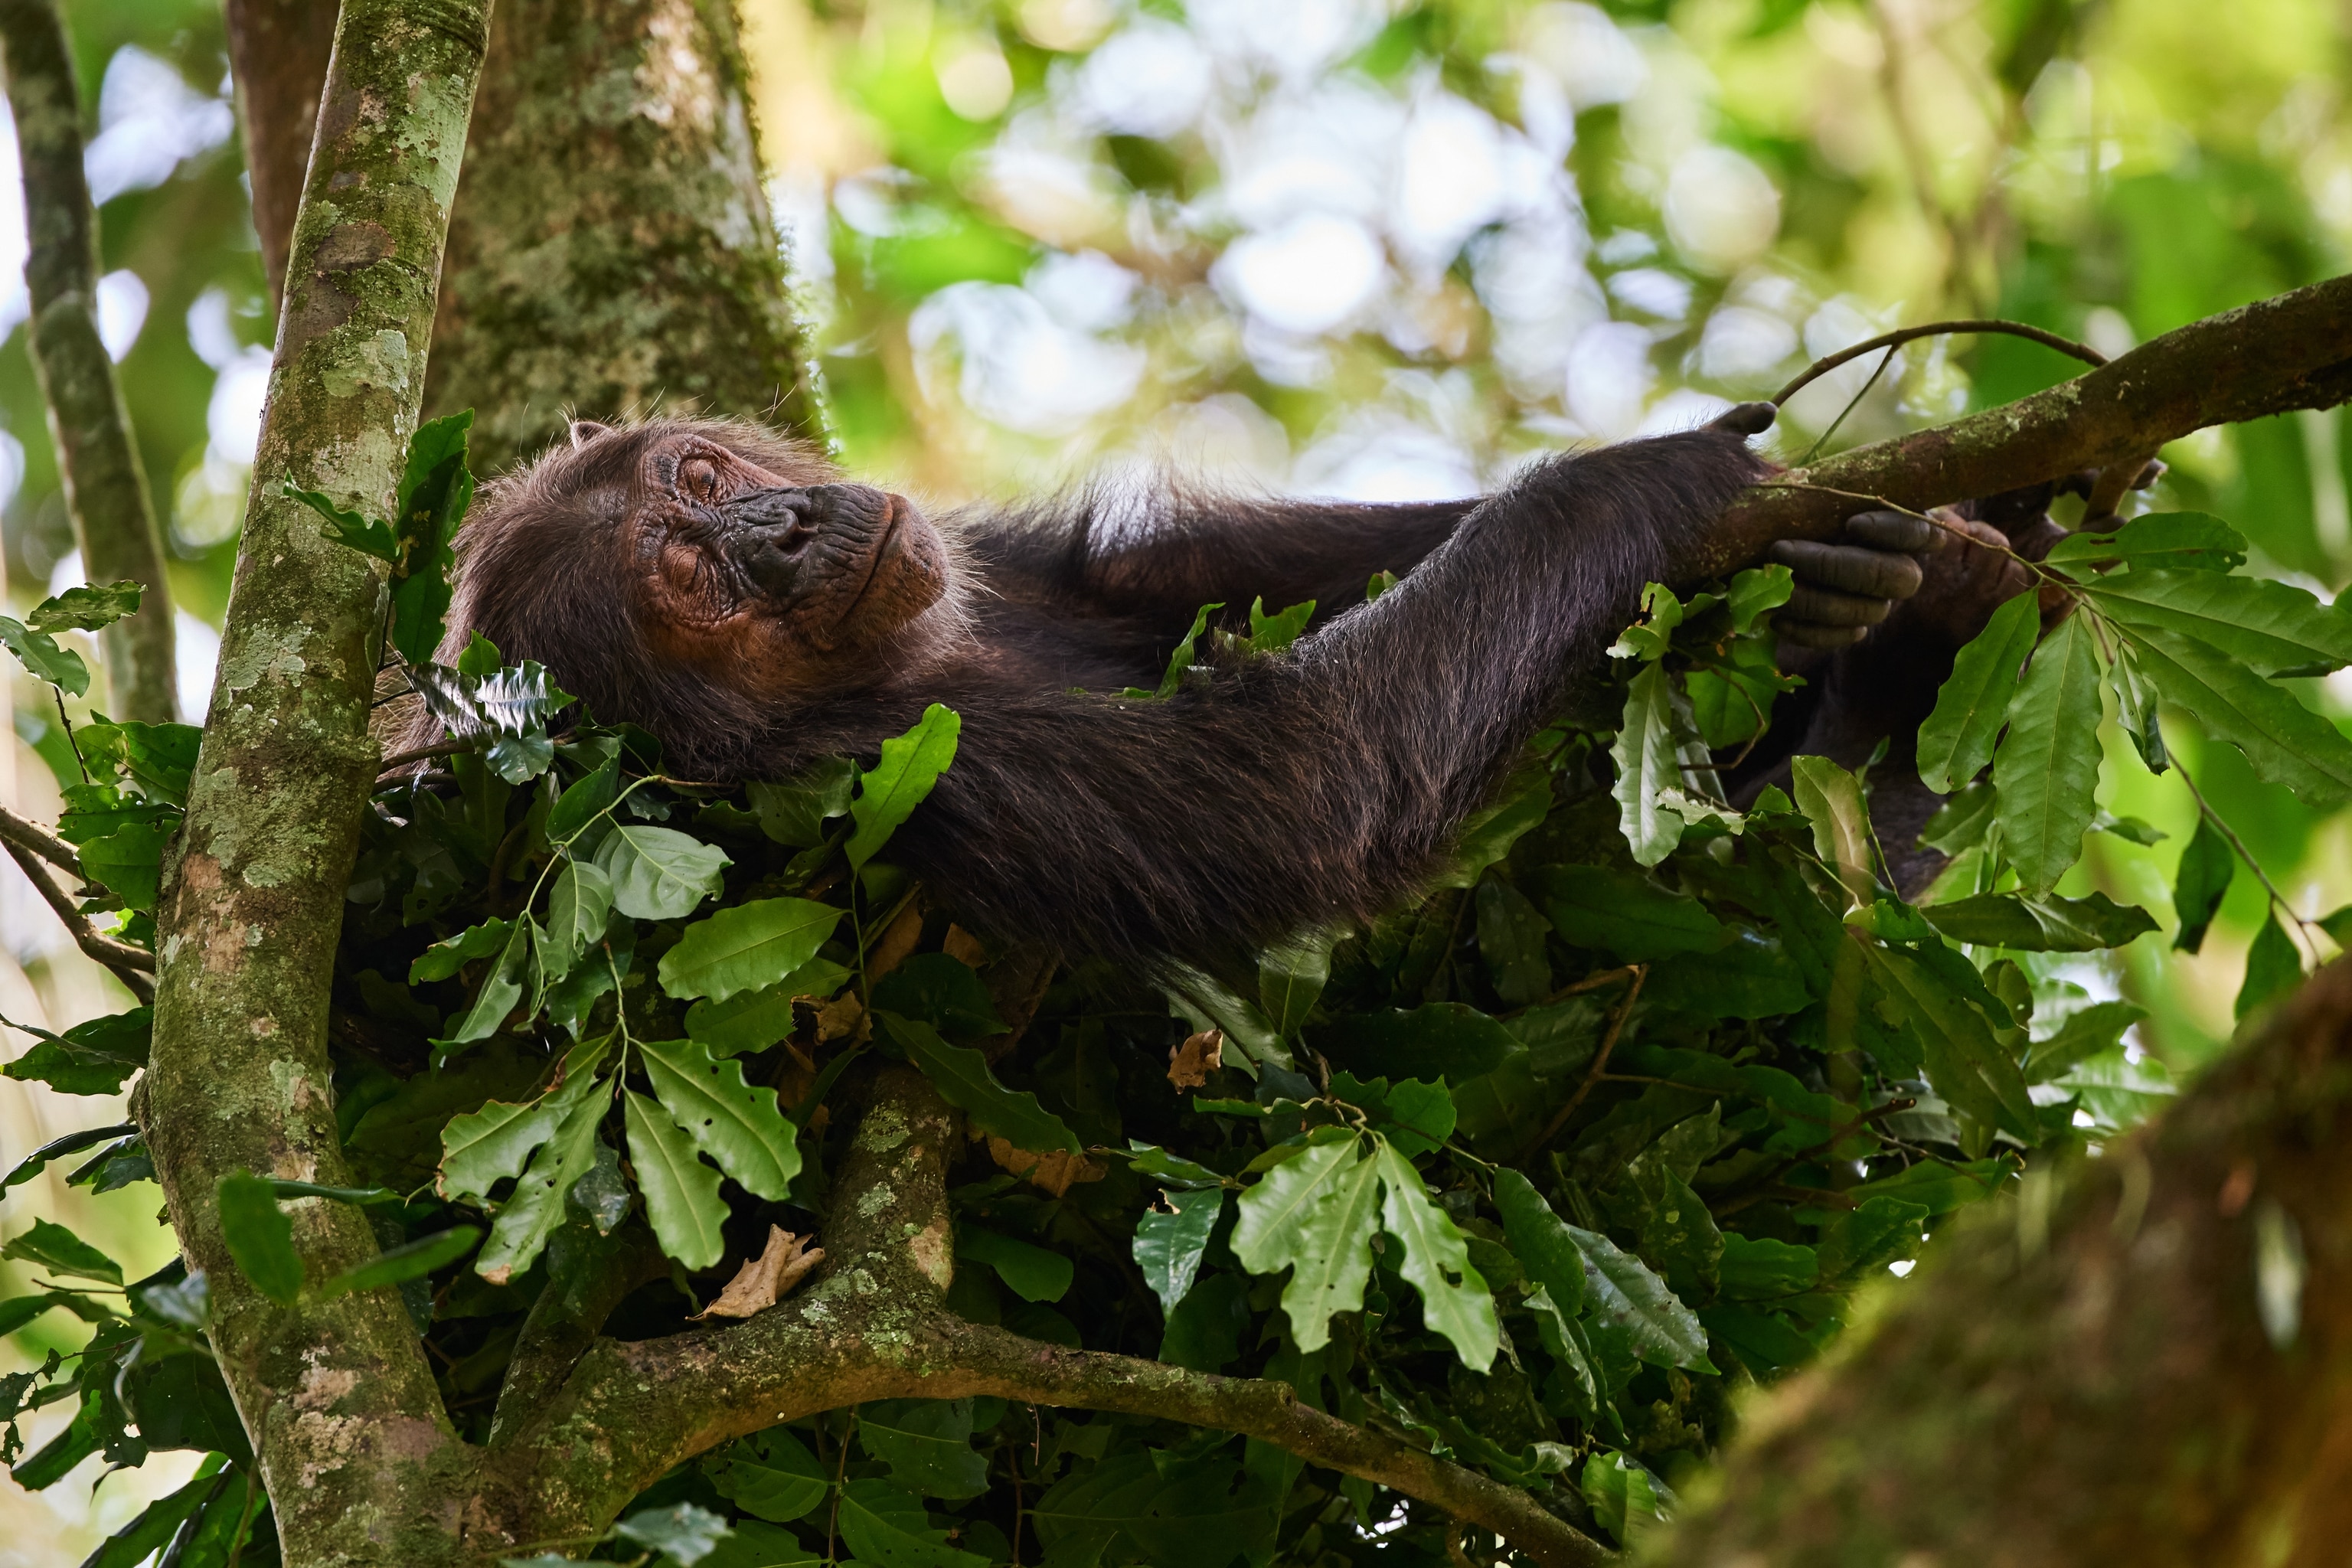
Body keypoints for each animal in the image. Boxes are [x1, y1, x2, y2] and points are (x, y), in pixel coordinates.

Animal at [416, 405, 1961, 969]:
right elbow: (1297, 775)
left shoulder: (988, 555)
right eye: (688, 574)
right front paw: (1639, 477)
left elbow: (1180, 578)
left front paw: (1826, 574)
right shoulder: (905, 767)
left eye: (701, 475)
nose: (776, 529)